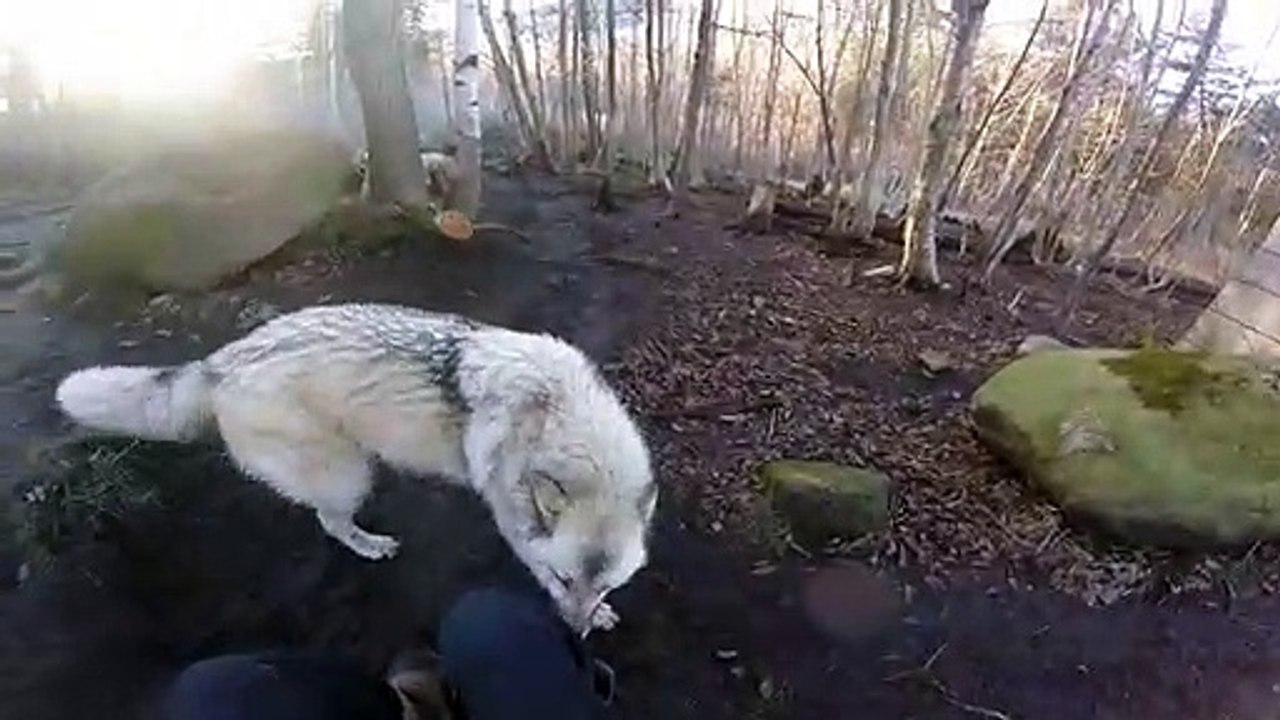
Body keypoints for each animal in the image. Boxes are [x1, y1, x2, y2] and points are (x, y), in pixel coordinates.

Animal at [55, 303, 657, 634]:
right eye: (565, 579)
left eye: (604, 585)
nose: (575, 635)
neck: (558, 417)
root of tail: (220, 362)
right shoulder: (512, 520)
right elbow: (530, 562)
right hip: (350, 473)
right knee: (330, 523)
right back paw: (369, 545)